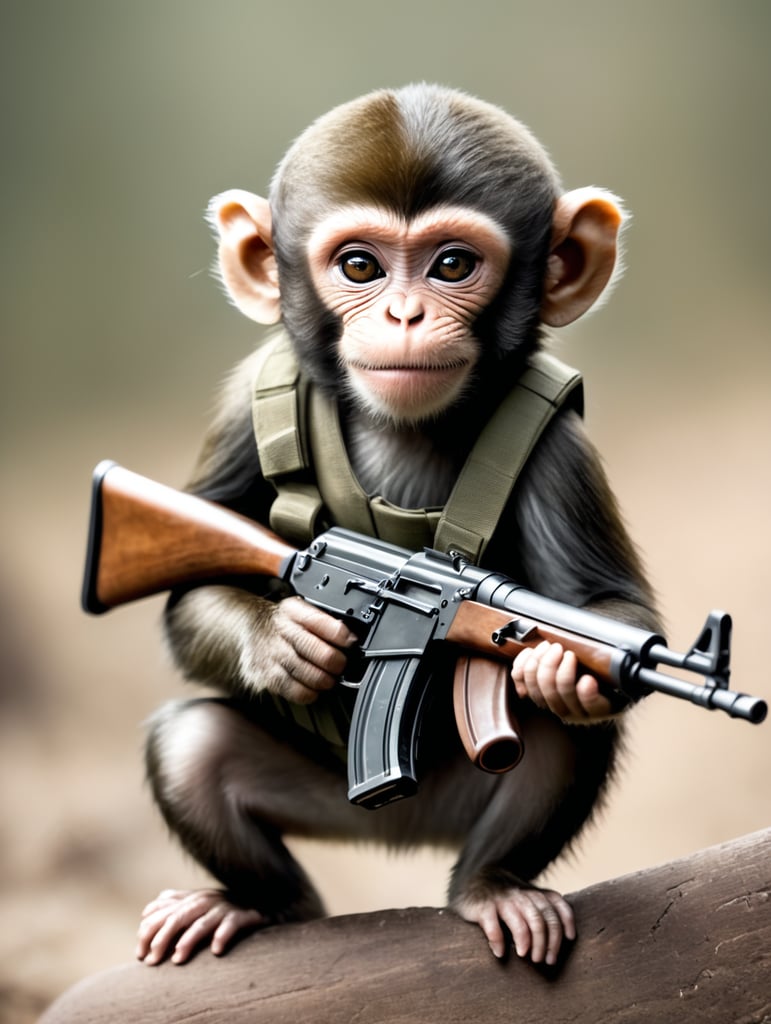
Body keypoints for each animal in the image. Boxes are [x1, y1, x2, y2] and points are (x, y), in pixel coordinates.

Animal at [134, 84, 661, 970]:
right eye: (358, 266)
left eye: (452, 264)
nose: (404, 314)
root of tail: (399, 832)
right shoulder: (244, 401)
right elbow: (187, 594)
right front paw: (286, 642)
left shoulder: (562, 447)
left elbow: (608, 604)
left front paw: (560, 662)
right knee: (191, 745)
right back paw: (255, 903)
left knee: (562, 739)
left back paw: (494, 888)